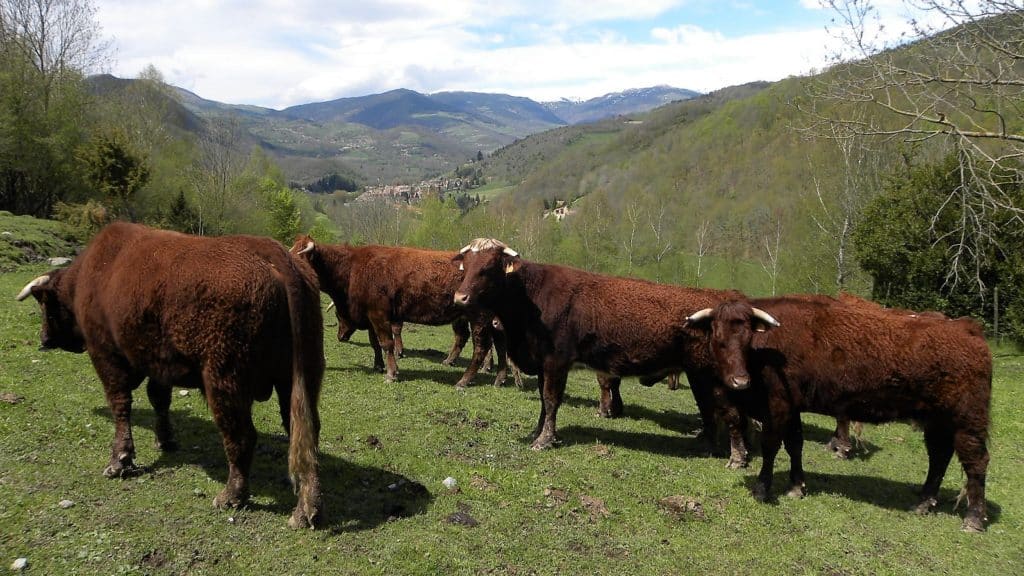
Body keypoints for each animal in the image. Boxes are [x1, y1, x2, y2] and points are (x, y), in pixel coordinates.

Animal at [14, 222, 323, 528]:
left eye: (44, 304)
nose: (43, 339)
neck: (92, 274)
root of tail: (271, 250)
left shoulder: (105, 355)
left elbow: (120, 404)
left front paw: (120, 460)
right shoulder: (159, 363)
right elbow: (159, 399)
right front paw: (165, 439)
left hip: (224, 379)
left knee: (241, 437)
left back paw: (232, 496)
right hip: (301, 376)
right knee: (305, 432)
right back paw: (306, 509)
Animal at [292, 235, 507, 387]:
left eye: (300, 257)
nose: (340, 337)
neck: (352, 268)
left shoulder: (379, 314)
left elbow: (386, 343)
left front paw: (391, 373)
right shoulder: (373, 316)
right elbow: (375, 343)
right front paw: (378, 365)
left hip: (479, 317)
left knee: (481, 346)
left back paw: (465, 379)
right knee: (497, 343)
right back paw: (498, 377)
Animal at [454, 235, 745, 455]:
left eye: (489, 267)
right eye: (465, 266)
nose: (460, 297)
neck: (530, 297)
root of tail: (725, 297)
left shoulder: (557, 361)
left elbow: (551, 399)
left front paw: (544, 440)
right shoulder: (542, 362)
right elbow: (543, 400)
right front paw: (540, 431)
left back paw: (737, 455)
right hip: (700, 375)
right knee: (710, 409)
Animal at [688, 293, 991, 532]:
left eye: (747, 337)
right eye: (718, 339)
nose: (739, 381)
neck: (763, 354)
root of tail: (968, 328)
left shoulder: (778, 405)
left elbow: (771, 446)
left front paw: (763, 489)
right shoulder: (793, 407)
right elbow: (794, 444)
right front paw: (796, 486)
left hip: (967, 421)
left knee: (976, 462)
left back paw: (974, 518)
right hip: (937, 421)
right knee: (939, 457)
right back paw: (924, 502)